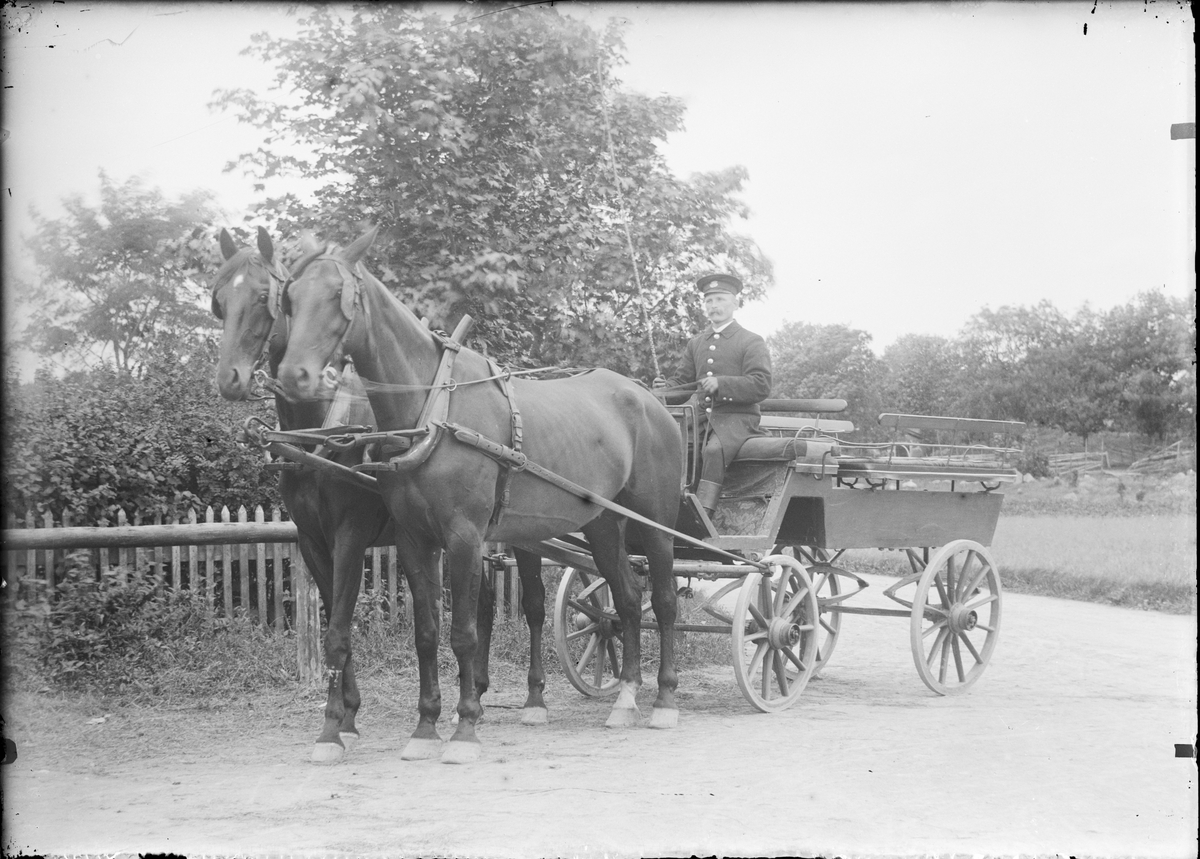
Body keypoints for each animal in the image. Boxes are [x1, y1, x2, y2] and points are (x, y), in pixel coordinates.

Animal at [274, 224, 686, 763]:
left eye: (338, 296)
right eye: (290, 300)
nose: (294, 375)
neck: (433, 408)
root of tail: (650, 399)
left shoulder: (462, 537)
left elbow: (465, 633)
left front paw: (465, 727)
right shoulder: (413, 539)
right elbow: (427, 633)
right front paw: (425, 727)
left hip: (654, 526)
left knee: (665, 601)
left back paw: (664, 700)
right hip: (601, 525)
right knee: (628, 600)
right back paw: (626, 698)